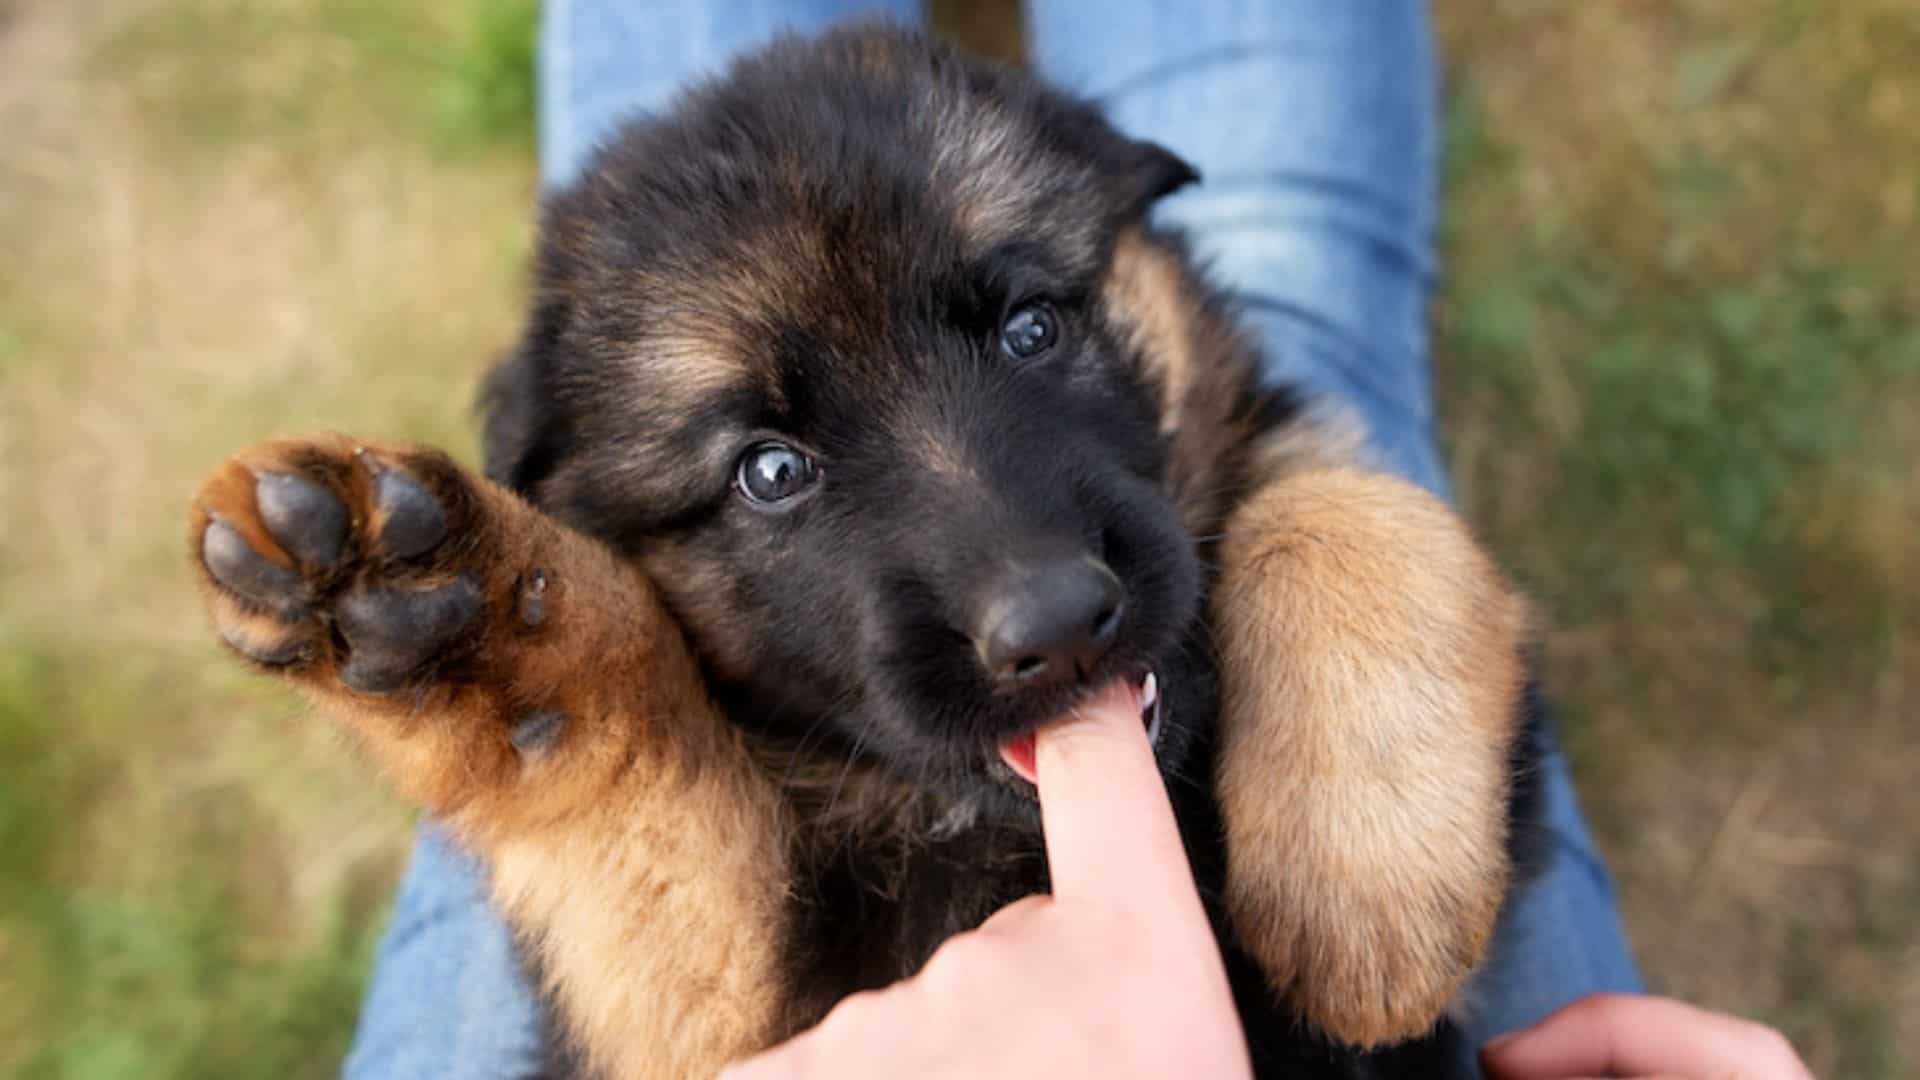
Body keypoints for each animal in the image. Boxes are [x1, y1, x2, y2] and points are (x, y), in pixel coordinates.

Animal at [183, 21, 1528, 1068]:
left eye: (1033, 327)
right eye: (771, 473)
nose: (1057, 624)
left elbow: (1339, 506)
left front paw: (1364, 888)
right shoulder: (716, 1014)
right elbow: (638, 782)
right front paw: (457, 614)